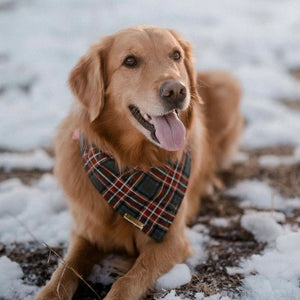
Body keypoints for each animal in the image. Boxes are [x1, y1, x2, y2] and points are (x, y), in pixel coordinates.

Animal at [34, 25, 243, 300]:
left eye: (175, 55)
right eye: (130, 61)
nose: (176, 91)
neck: (133, 164)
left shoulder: (171, 241)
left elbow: (127, 282)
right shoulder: (87, 232)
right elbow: (63, 272)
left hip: (226, 85)